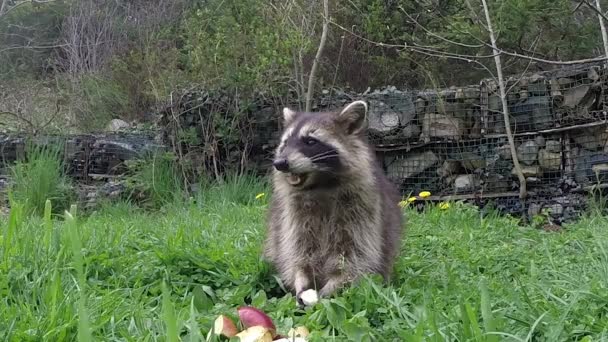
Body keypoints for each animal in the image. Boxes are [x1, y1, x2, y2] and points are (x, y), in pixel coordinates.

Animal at [262, 100, 404, 306]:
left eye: (310, 141)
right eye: (285, 143)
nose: (280, 163)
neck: (320, 185)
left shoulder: (363, 209)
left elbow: (357, 257)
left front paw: (331, 289)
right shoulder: (293, 215)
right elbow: (297, 253)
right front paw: (301, 279)